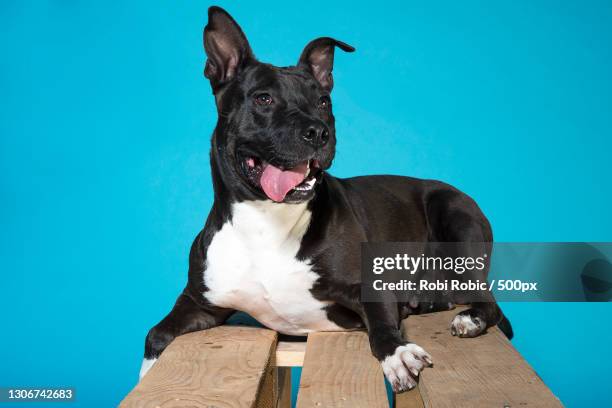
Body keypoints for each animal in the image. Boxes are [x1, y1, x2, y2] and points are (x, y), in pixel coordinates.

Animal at [140, 7, 512, 392]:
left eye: (323, 101)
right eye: (263, 98)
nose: (319, 132)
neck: (265, 221)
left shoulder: (370, 285)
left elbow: (381, 326)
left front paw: (397, 353)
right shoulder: (199, 302)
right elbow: (155, 333)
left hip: (456, 216)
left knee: (490, 302)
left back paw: (469, 319)